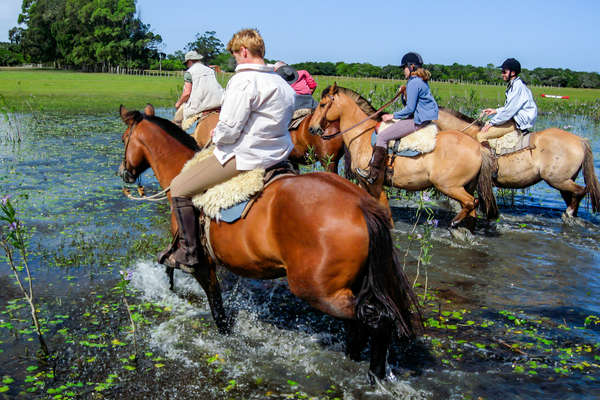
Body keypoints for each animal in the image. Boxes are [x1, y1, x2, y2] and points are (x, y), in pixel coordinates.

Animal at [308, 83, 500, 228]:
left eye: (323, 105)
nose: (312, 128)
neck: (362, 135)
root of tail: (477, 147)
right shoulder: (363, 183)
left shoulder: (375, 183)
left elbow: (384, 207)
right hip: (464, 186)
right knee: (471, 209)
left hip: (449, 186)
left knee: (471, 202)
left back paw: (455, 221)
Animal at [436, 108, 600, 217]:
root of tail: (580, 140)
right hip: (564, 181)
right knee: (573, 195)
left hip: (558, 180)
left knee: (580, 191)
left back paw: (569, 212)